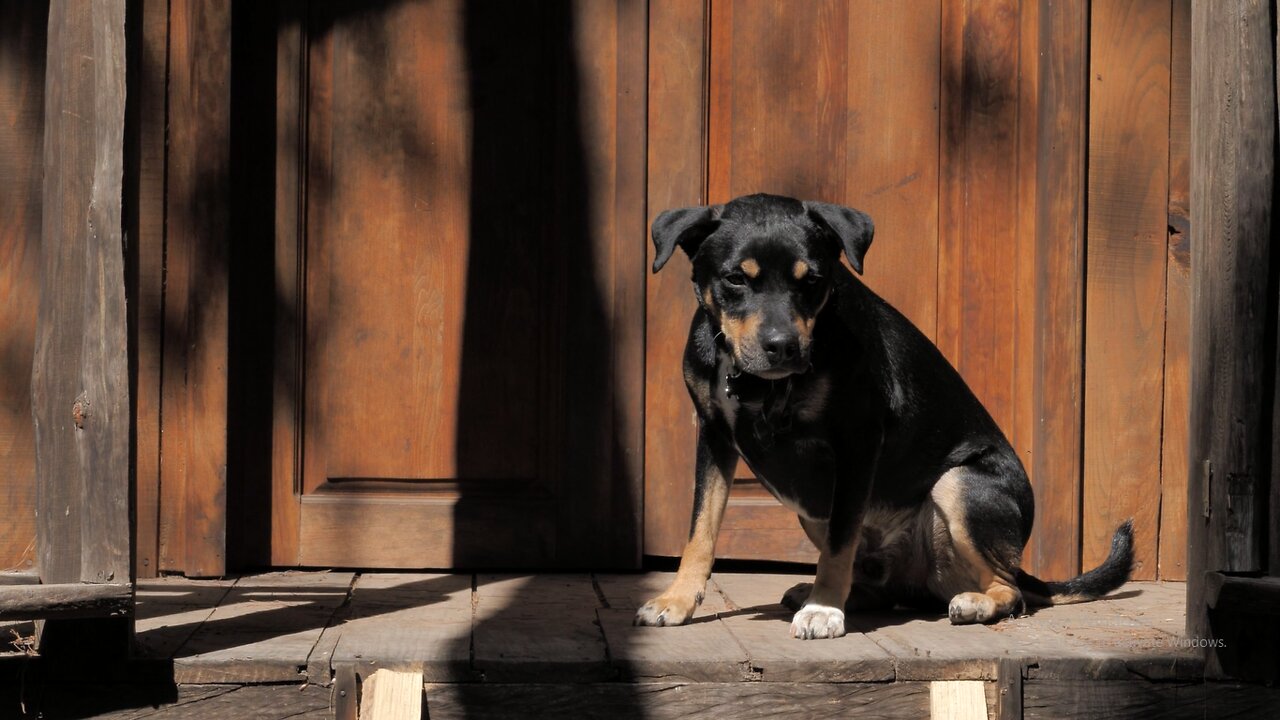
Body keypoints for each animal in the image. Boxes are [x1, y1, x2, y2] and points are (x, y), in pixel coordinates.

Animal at [634, 192, 1136, 638]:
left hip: (958, 484)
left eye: (811, 280)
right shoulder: (715, 436)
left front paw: (823, 610)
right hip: (815, 512)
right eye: (736, 279)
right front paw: (675, 601)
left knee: (1010, 589)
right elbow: (700, 530)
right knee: (881, 587)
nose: (783, 347)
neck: (761, 384)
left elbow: (839, 543)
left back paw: (972, 602)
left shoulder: (856, 441)